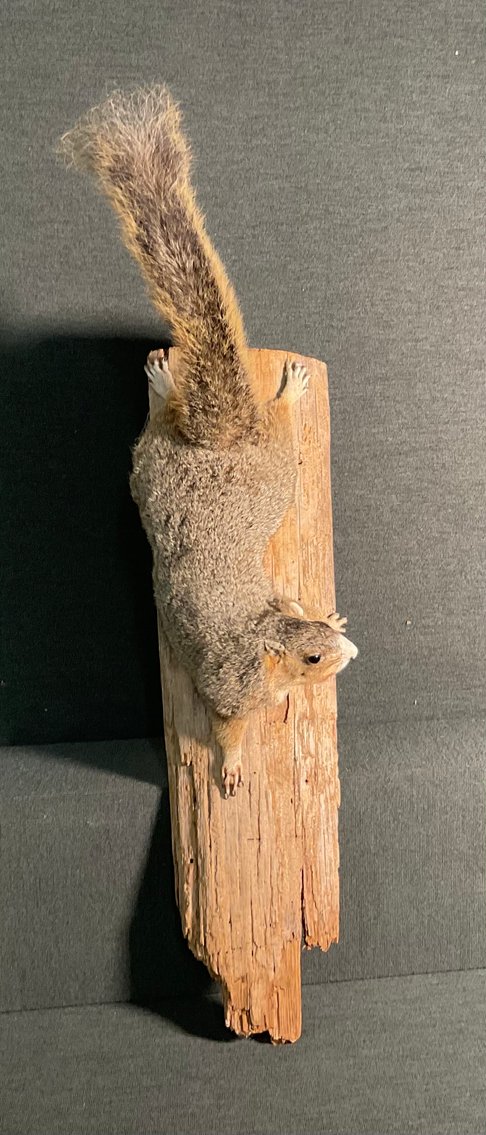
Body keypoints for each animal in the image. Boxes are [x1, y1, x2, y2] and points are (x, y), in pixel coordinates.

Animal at [59, 86, 358, 797]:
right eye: (312, 657)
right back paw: (272, 392)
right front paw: (231, 768)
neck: (261, 642)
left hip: (165, 467)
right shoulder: (231, 692)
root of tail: (219, 437)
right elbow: (226, 733)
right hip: (266, 467)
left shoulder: (279, 600)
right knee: (268, 427)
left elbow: (291, 593)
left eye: (318, 634)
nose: (352, 651)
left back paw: (180, 381)